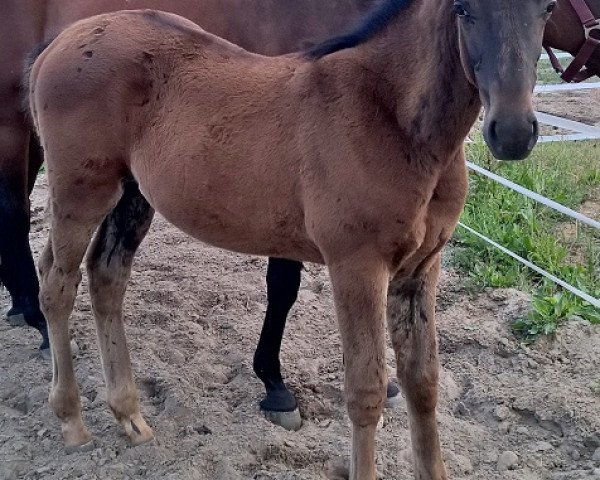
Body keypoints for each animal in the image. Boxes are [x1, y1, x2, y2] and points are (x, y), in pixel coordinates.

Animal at [28, 1, 552, 478]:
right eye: (464, 8)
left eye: (547, 8)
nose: (512, 131)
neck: (391, 117)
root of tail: (58, 44)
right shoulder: (357, 267)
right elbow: (365, 391)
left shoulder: (421, 270)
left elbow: (423, 383)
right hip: (81, 192)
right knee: (57, 285)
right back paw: (72, 421)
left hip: (132, 194)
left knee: (105, 277)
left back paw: (129, 415)